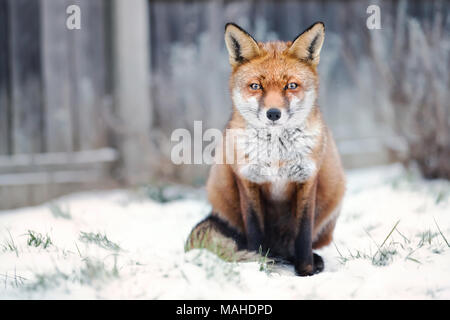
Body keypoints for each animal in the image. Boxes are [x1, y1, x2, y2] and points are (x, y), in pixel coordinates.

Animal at [185, 21, 344, 276]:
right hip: (220, 188)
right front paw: (259, 264)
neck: (276, 155)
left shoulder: (307, 180)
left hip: (334, 189)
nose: (273, 113)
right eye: (256, 86)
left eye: (291, 86)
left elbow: (303, 235)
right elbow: (255, 234)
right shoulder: (248, 181)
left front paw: (306, 271)